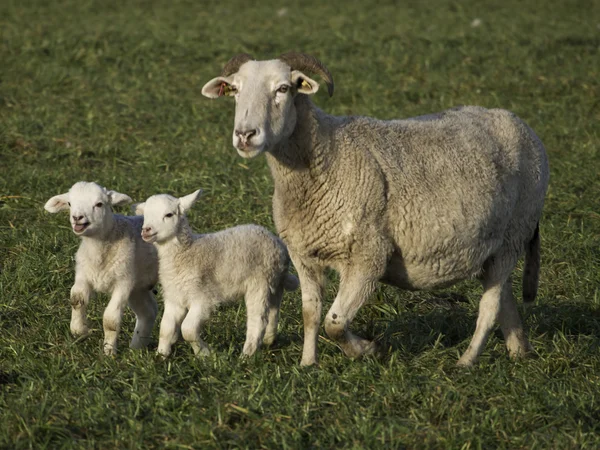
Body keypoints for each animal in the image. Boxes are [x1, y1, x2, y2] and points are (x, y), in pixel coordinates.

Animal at [45, 180, 159, 356]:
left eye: (99, 204)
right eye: (70, 203)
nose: (77, 218)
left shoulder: (123, 282)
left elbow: (110, 320)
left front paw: (109, 351)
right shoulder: (83, 275)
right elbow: (76, 299)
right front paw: (80, 330)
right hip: (139, 286)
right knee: (148, 312)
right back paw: (136, 347)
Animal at [134, 190, 298, 358]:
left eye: (169, 215)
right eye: (145, 215)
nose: (146, 230)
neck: (186, 253)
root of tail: (277, 242)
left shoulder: (204, 298)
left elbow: (188, 330)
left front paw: (204, 353)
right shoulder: (175, 298)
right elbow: (165, 328)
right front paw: (162, 355)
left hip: (260, 282)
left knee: (258, 320)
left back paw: (246, 355)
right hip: (274, 282)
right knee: (273, 310)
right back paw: (269, 340)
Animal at [200, 52, 548, 368]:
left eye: (283, 88)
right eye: (235, 89)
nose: (245, 135)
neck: (328, 155)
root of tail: (515, 121)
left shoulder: (369, 255)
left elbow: (335, 323)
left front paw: (368, 350)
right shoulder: (304, 254)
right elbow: (311, 314)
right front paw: (308, 363)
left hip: (515, 234)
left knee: (489, 308)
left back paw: (466, 361)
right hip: (492, 247)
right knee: (504, 300)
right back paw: (520, 350)